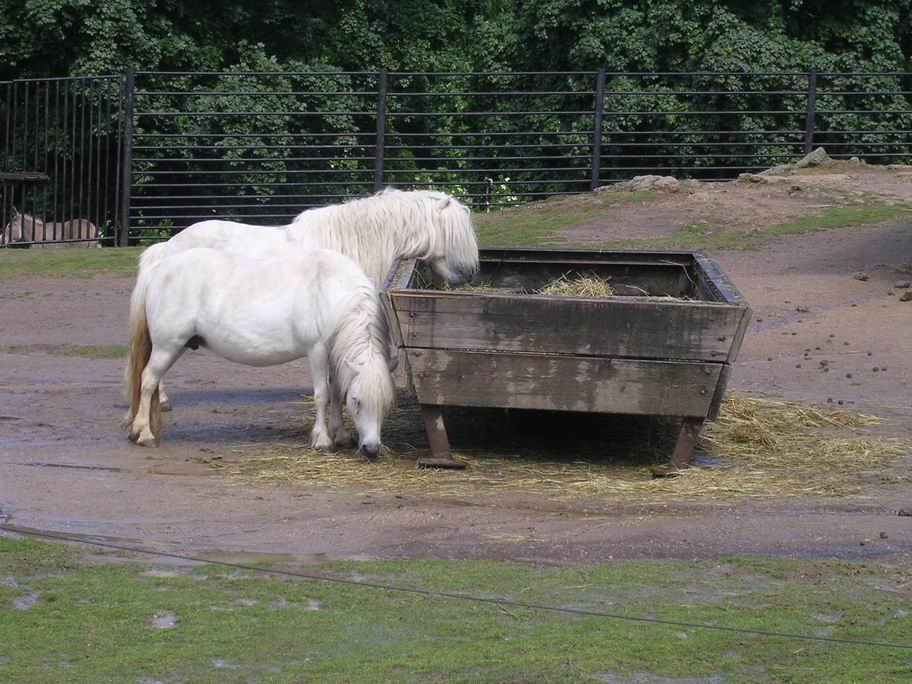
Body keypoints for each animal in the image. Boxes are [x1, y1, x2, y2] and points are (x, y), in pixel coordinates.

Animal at [123, 248, 394, 456]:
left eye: (385, 403)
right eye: (357, 401)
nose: (371, 449)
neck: (330, 291)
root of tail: (159, 269)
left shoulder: (336, 354)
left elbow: (336, 391)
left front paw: (341, 434)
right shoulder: (317, 350)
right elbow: (322, 394)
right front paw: (323, 440)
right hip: (167, 346)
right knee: (148, 380)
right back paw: (144, 433)